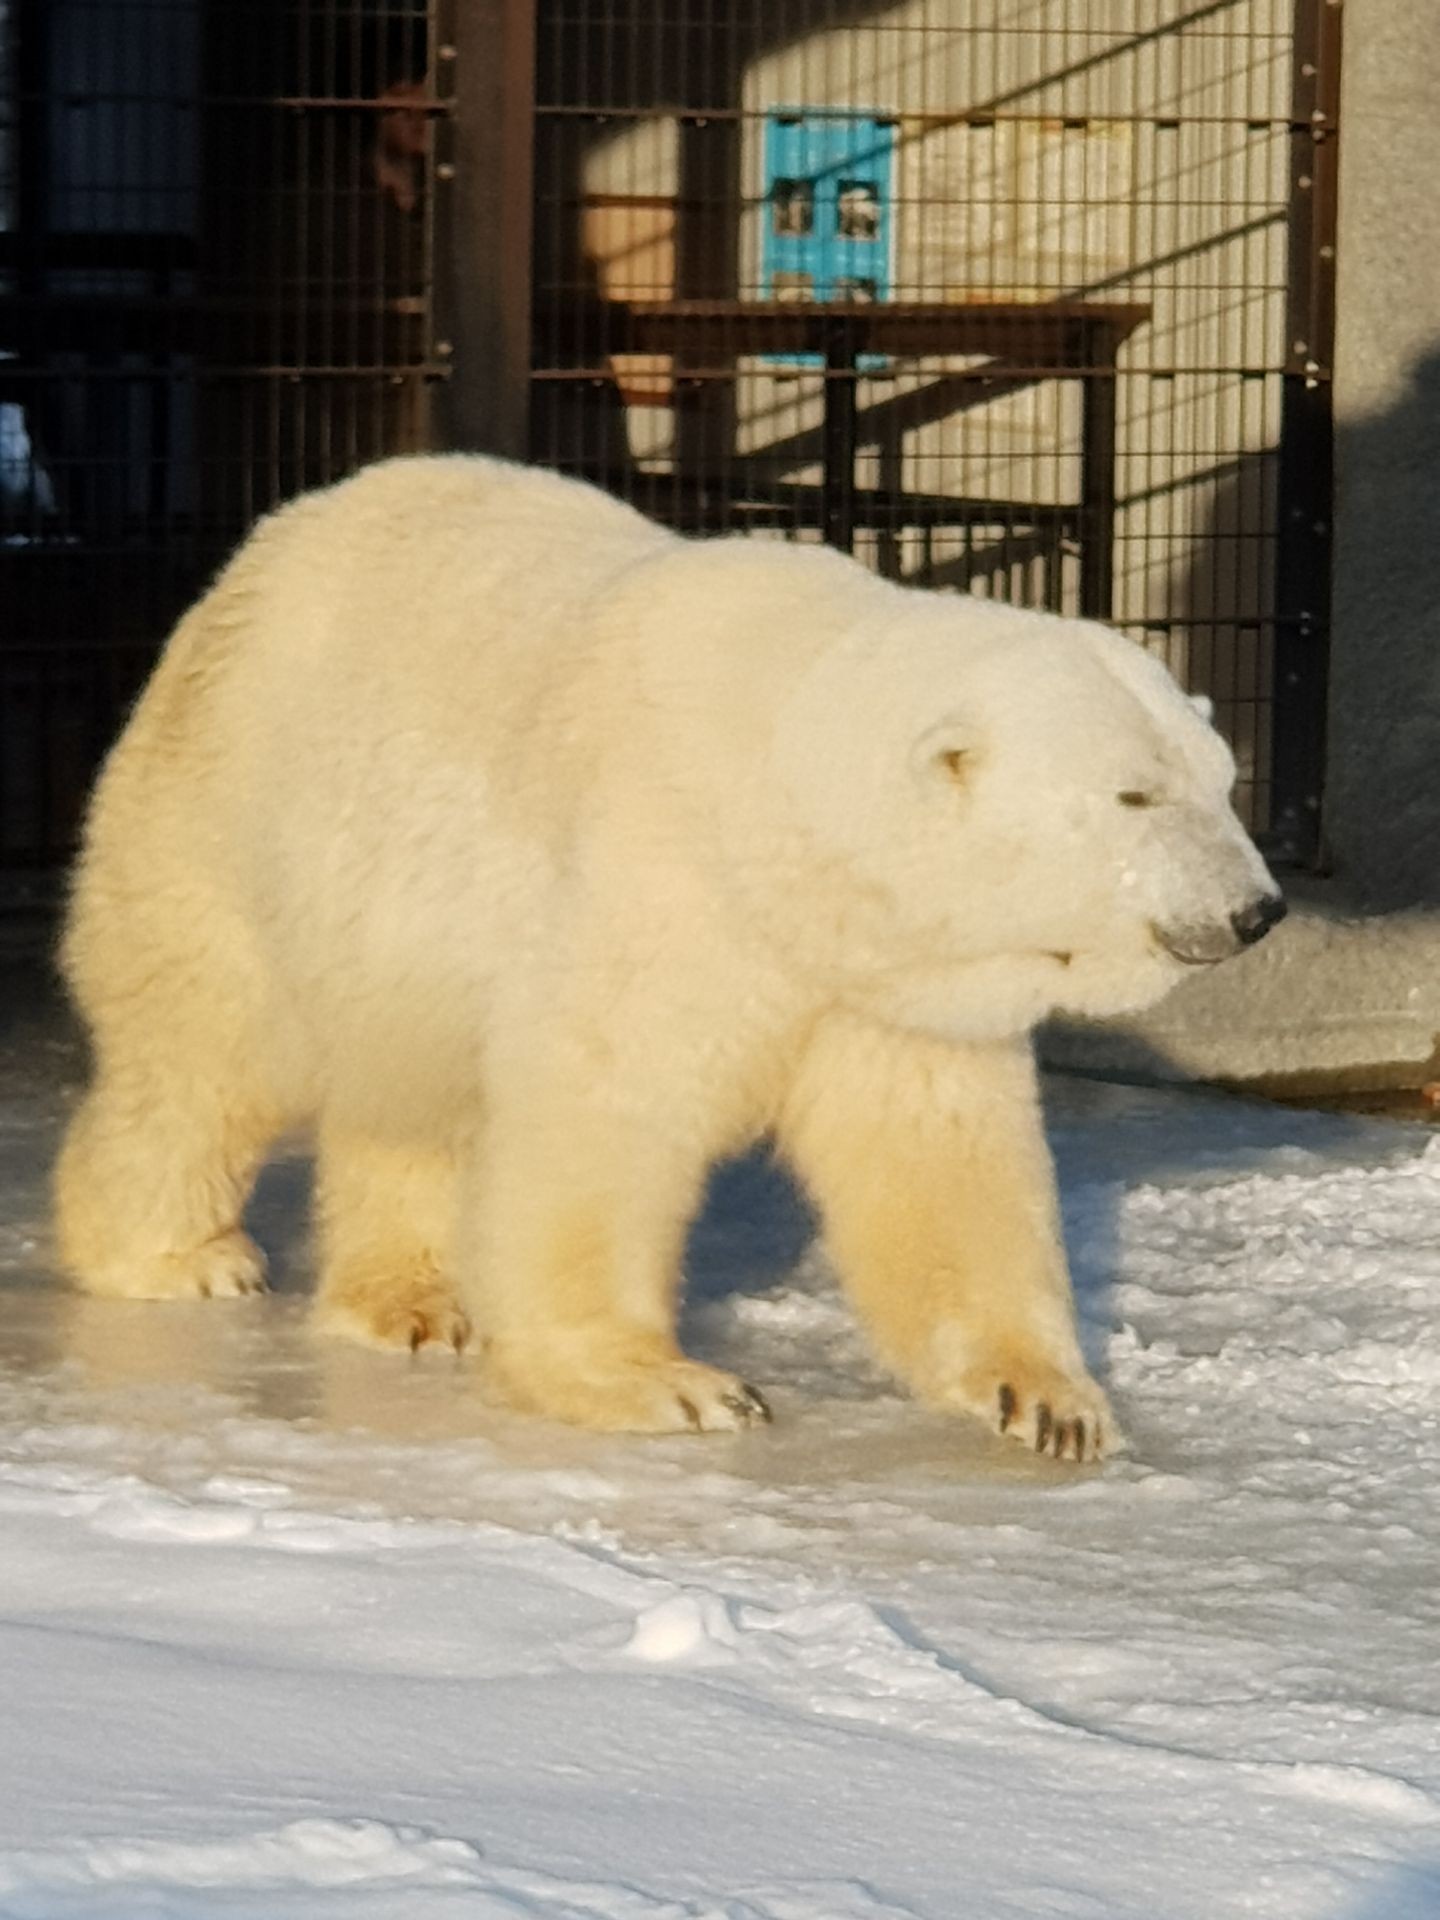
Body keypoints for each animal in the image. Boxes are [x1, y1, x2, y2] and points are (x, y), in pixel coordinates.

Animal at [50, 456, 1282, 1459]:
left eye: (1221, 780)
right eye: (1135, 794)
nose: (1257, 910)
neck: (788, 795)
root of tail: (250, 560)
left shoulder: (878, 985)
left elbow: (939, 1159)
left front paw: (1049, 1402)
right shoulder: (666, 878)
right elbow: (607, 1109)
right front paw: (672, 1385)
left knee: (408, 1095)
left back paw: (413, 1301)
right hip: (237, 820)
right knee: (204, 1047)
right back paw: (176, 1254)